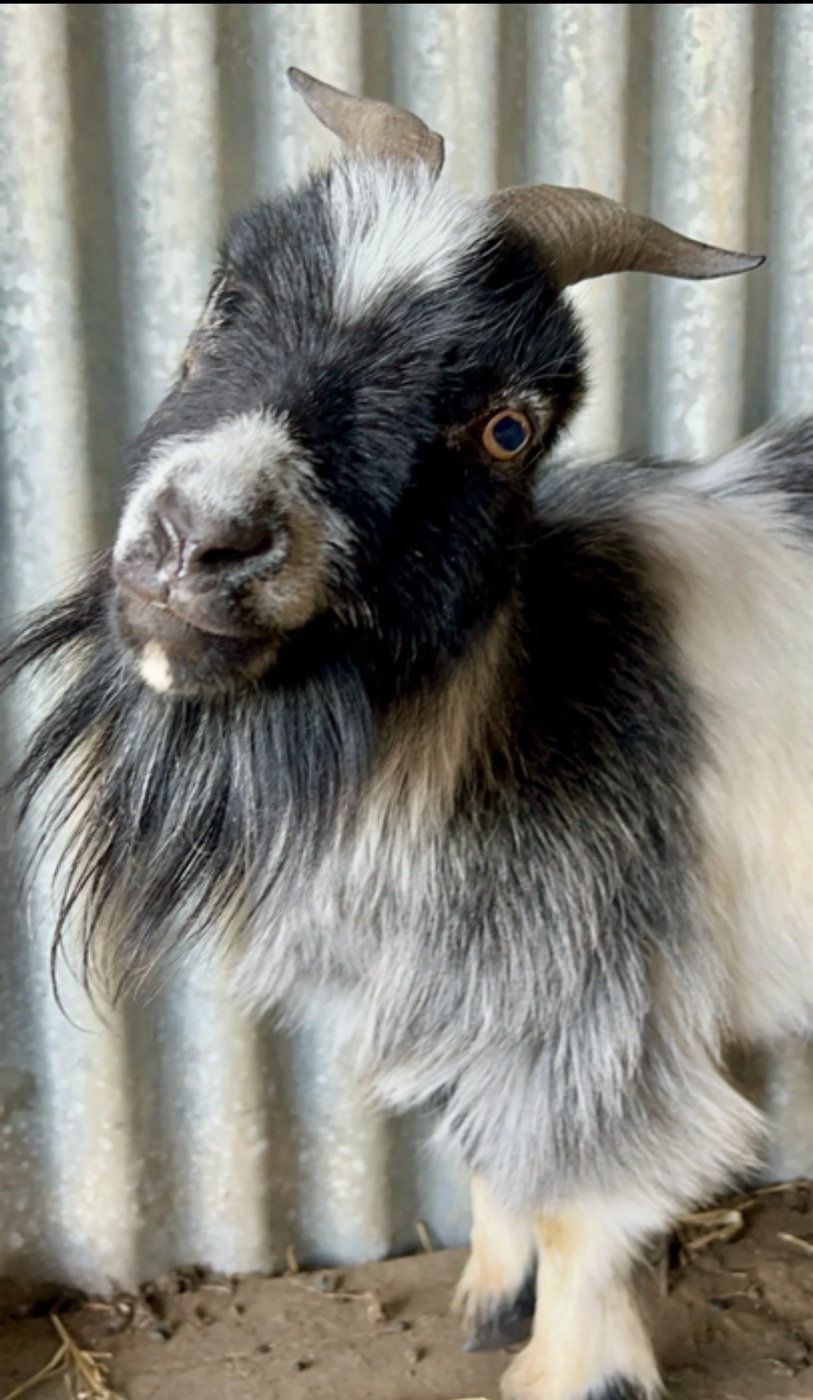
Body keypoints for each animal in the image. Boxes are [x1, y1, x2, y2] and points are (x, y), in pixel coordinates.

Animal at [5, 67, 804, 1400]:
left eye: (508, 429)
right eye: (223, 298)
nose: (204, 540)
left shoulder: (587, 990)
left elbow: (580, 1198)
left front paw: (560, 1371)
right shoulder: (471, 995)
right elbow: (489, 1156)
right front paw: (487, 1299)